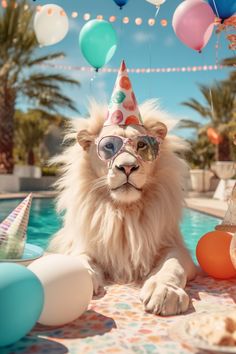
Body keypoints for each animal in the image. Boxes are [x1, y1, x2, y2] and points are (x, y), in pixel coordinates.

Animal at [48, 99, 196, 316]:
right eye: (109, 146)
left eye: (142, 145)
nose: (127, 167)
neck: (125, 212)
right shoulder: (82, 245)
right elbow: (80, 258)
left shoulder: (175, 246)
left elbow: (172, 265)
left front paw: (165, 292)